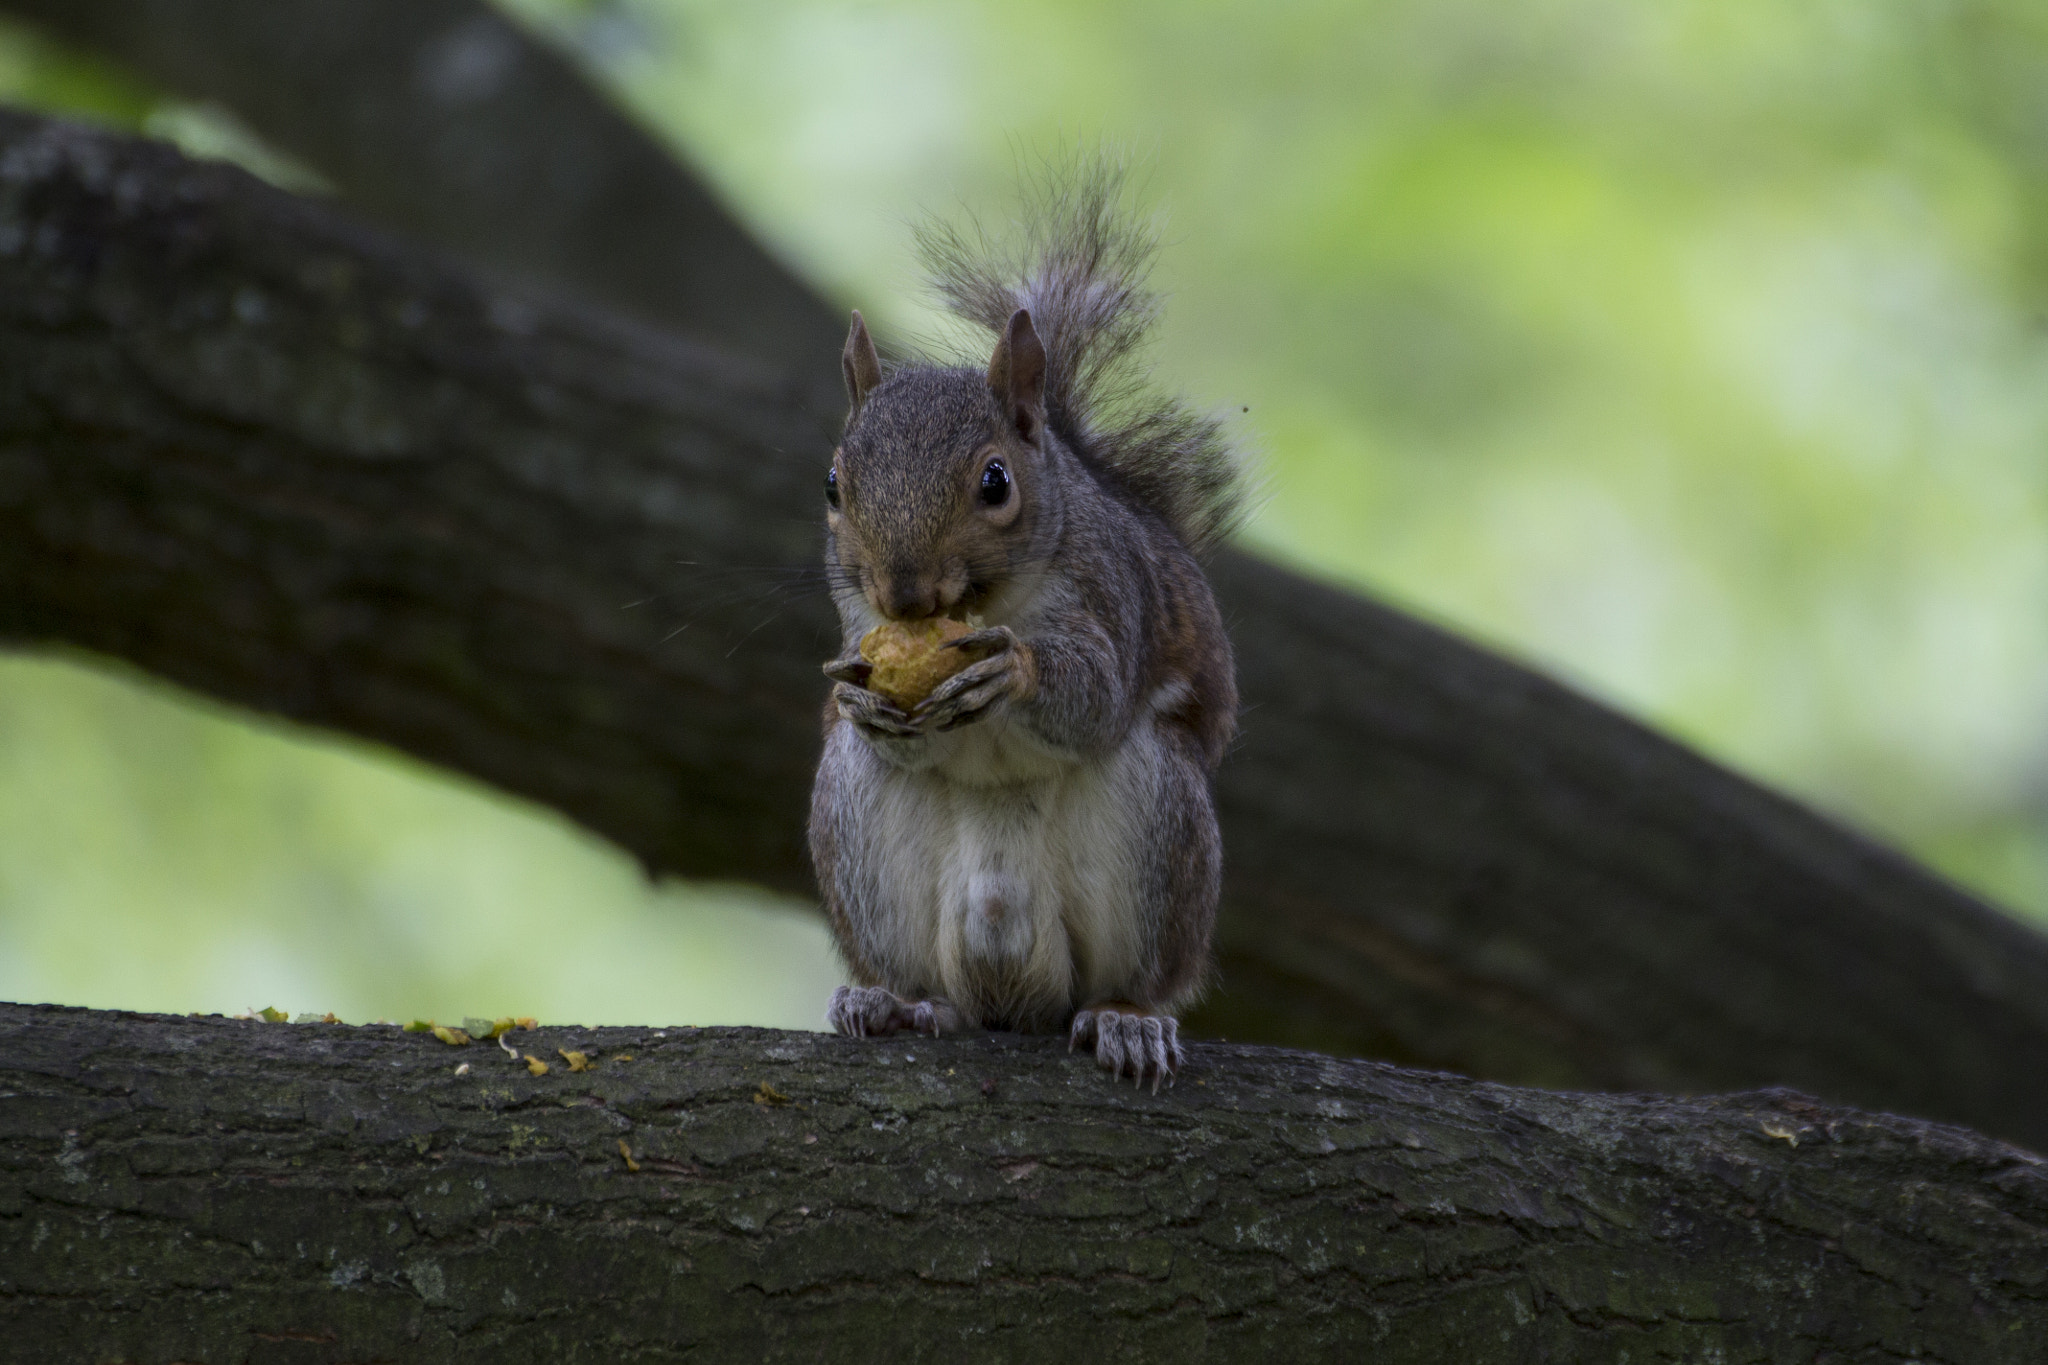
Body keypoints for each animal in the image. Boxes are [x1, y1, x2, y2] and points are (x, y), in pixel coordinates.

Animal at [807, 165, 1245, 1089]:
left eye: (996, 481)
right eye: (833, 485)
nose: (903, 595)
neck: (988, 603)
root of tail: (1013, 990)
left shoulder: (1113, 596)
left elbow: (1096, 692)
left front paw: (1014, 671)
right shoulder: (854, 617)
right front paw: (862, 697)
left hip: (1158, 824)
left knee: (1134, 976)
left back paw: (1126, 1019)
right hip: (860, 831)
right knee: (931, 987)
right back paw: (891, 1001)